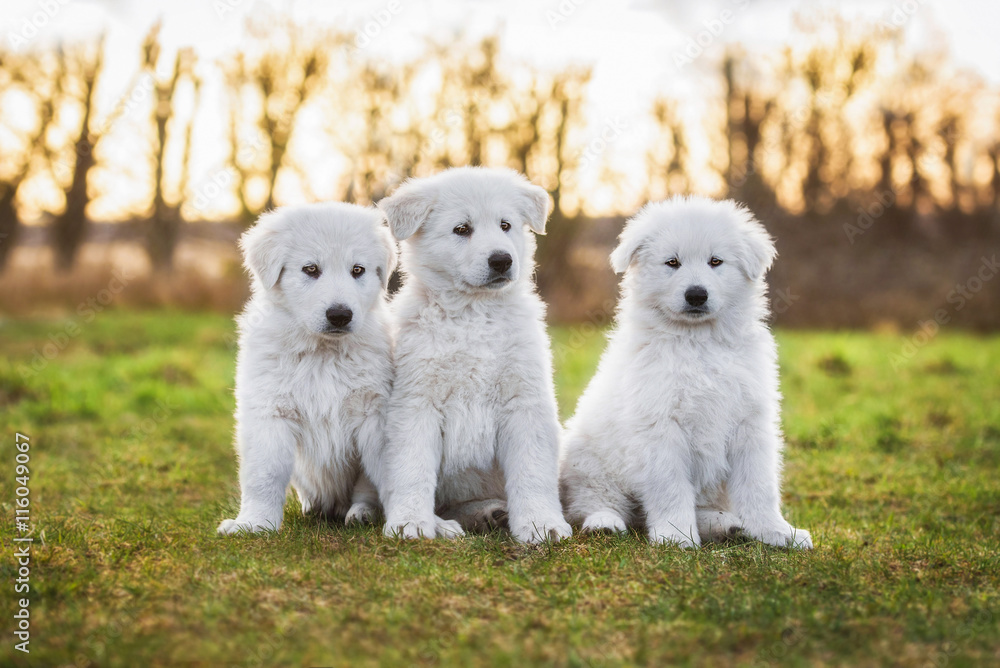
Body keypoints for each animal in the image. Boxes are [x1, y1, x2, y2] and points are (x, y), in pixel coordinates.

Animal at [219, 201, 398, 536]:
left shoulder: (374, 412)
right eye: (310, 269)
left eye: (358, 270)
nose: (340, 315)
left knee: (365, 492)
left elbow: (391, 472)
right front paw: (253, 523)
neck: (323, 353)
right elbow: (264, 475)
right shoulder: (270, 411)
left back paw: (362, 513)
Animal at [376, 166, 576, 544]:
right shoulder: (416, 404)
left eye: (505, 225)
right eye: (461, 229)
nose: (502, 260)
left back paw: (491, 513)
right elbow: (412, 469)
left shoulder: (524, 401)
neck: (474, 313)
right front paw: (410, 522)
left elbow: (532, 472)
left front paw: (540, 524)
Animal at [560, 197, 816, 548]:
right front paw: (676, 537)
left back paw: (726, 525)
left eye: (715, 261)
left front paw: (776, 532)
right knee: (594, 501)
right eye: (672, 262)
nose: (696, 294)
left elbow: (759, 486)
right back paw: (605, 523)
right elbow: (671, 488)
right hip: (590, 462)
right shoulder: (660, 428)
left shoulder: (750, 423)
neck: (698, 342)